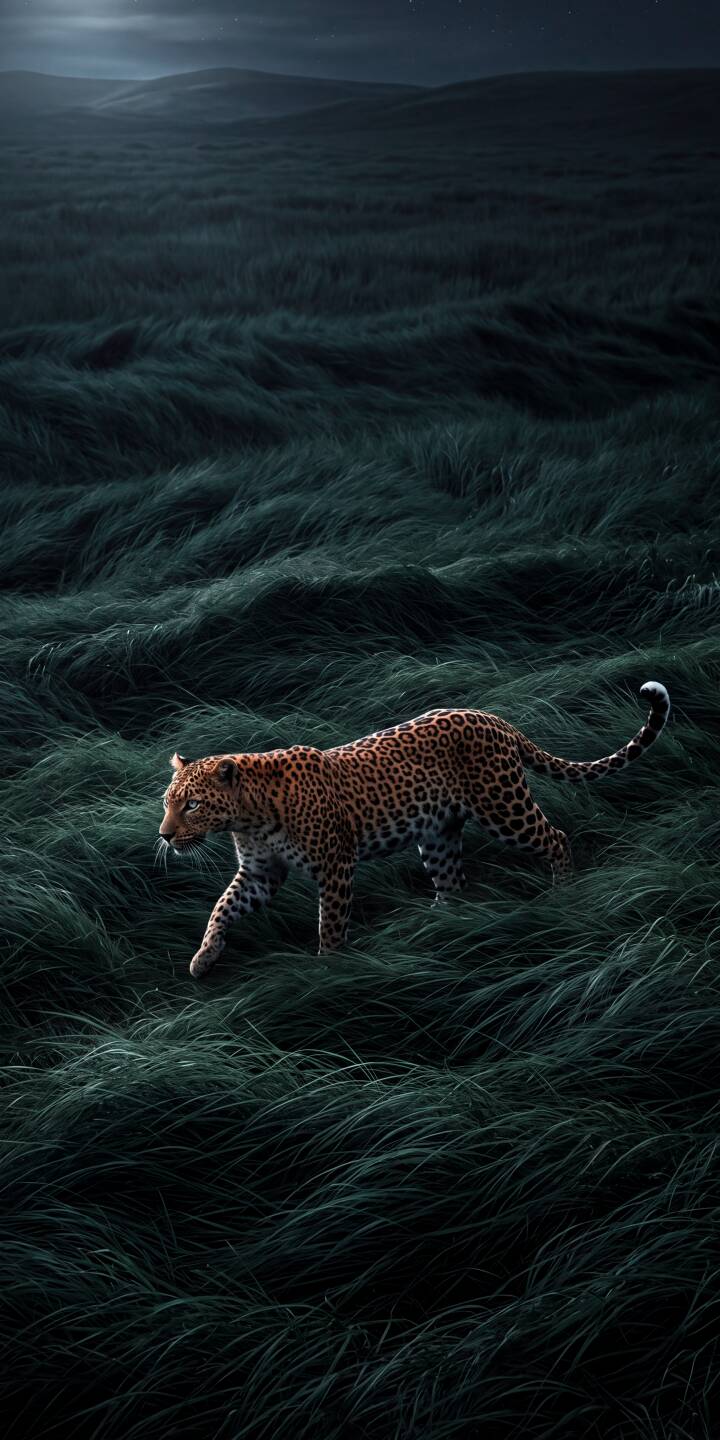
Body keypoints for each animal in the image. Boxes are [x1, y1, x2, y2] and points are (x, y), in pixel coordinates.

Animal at [158, 680, 670, 978]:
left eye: (192, 804)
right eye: (167, 803)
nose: (164, 836)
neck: (250, 816)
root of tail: (494, 718)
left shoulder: (336, 865)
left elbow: (331, 924)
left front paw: (328, 971)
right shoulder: (260, 874)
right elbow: (222, 908)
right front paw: (203, 958)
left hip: (503, 808)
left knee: (555, 838)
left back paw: (563, 894)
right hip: (438, 836)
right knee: (454, 883)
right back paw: (439, 926)